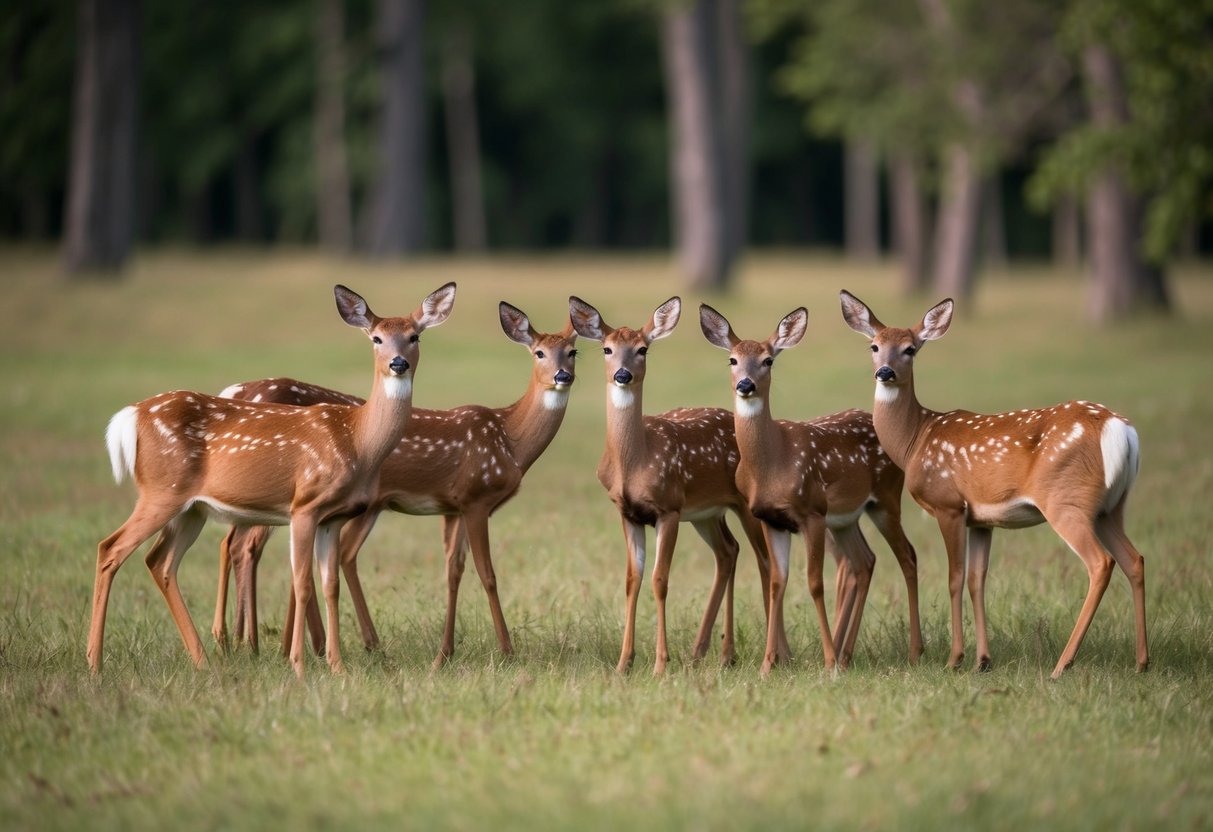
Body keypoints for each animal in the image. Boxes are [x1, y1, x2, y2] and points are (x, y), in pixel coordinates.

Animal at [89, 282, 457, 677]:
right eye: (376, 338)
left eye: (414, 336)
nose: (397, 363)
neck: (357, 440)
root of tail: (130, 416)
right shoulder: (304, 504)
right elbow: (302, 581)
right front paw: (299, 666)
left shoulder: (334, 516)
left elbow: (330, 585)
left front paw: (338, 667)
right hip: (161, 492)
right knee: (110, 549)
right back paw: (95, 663)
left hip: (191, 509)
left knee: (160, 562)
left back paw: (203, 661)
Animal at [211, 302, 579, 670]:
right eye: (539, 352)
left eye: (573, 351)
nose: (563, 376)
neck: (510, 440)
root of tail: (235, 390)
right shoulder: (476, 498)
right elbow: (487, 573)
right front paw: (506, 650)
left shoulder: (453, 506)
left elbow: (454, 570)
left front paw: (445, 653)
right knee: (253, 547)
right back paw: (256, 643)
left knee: (246, 546)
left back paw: (255, 643)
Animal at [568, 295, 784, 675]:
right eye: (607, 349)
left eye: (642, 349)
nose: (622, 375)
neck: (635, 462)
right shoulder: (627, 512)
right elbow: (632, 579)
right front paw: (624, 663)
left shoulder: (667, 508)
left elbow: (659, 579)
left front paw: (660, 663)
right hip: (707, 513)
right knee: (729, 552)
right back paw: (715, 653)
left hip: (743, 506)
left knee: (763, 562)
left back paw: (772, 656)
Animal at [699, 304, 923, 674]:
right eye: (732, 359)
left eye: (768, 360)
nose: (746, 384)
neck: (774, 462)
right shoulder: (770, 518)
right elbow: (777, 582)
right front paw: (768, 665)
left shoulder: (812, 512)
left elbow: (815, 583)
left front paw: (828, 664)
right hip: (848, 517)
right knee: (865, 560)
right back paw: (848, 654)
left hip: (886, 500)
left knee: (907, 555)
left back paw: (908, 652)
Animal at [839, 290, 1148, 678]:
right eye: (874, 346)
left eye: (910, 349)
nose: (885, 372)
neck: (916, 441)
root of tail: (1121, 430)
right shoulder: (982, 520)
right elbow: (977, 580)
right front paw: (982, 660)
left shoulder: (948, 504)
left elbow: (954, 578)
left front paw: (955, 659)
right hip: (1111, 507)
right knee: (1134, 559)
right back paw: (1141, 662)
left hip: (1067, 501)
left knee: (1101, 563)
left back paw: (1062, 664)